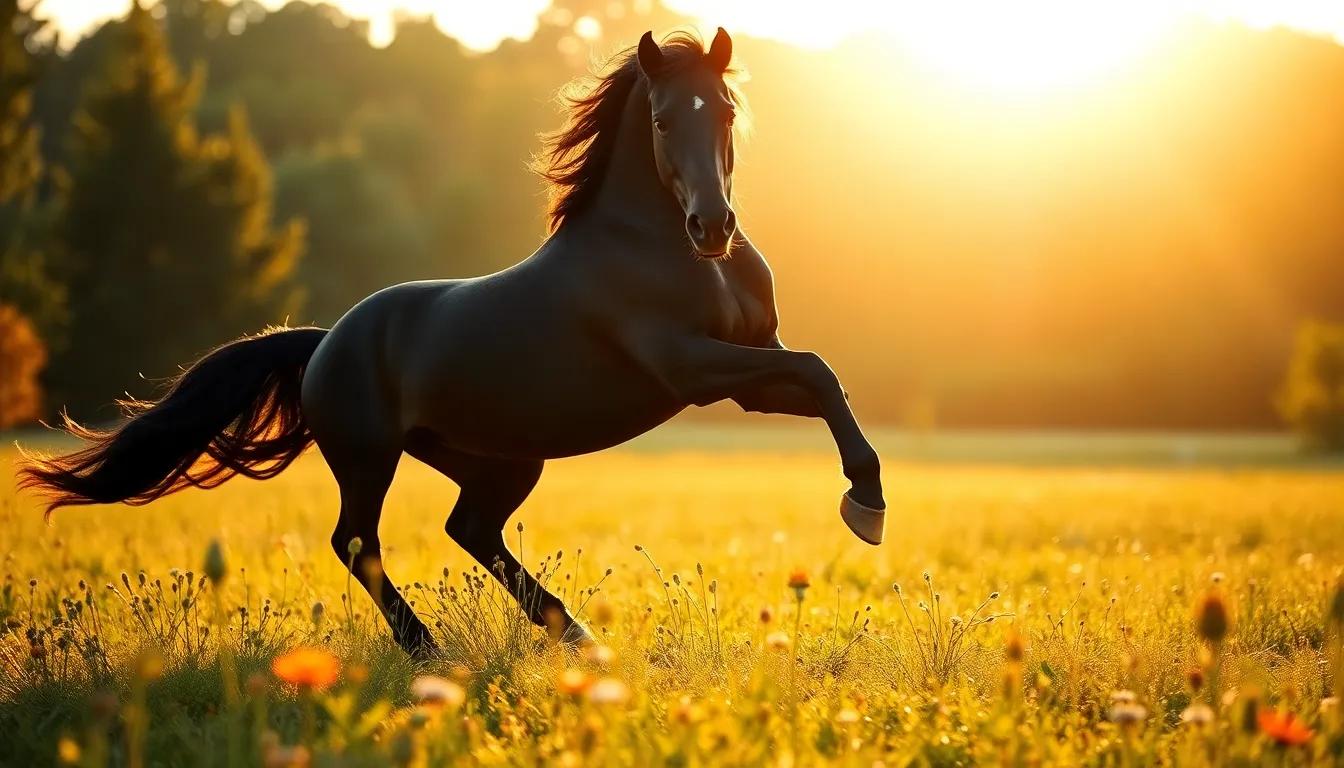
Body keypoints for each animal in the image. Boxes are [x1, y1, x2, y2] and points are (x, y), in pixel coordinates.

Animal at [17, 28, 887, 659]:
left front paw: (864, 495)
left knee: (469, 528)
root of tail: (326, 340)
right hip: (370, 456)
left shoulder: (744, 378)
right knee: (358, 541)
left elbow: (823, 379)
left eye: (728, 111)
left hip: (496, 457)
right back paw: (428, 649)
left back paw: (571, 632)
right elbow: (817, 369)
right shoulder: (691, 368)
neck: (658, 247)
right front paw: (867, 506)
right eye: (665, 119)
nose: (713, 227)